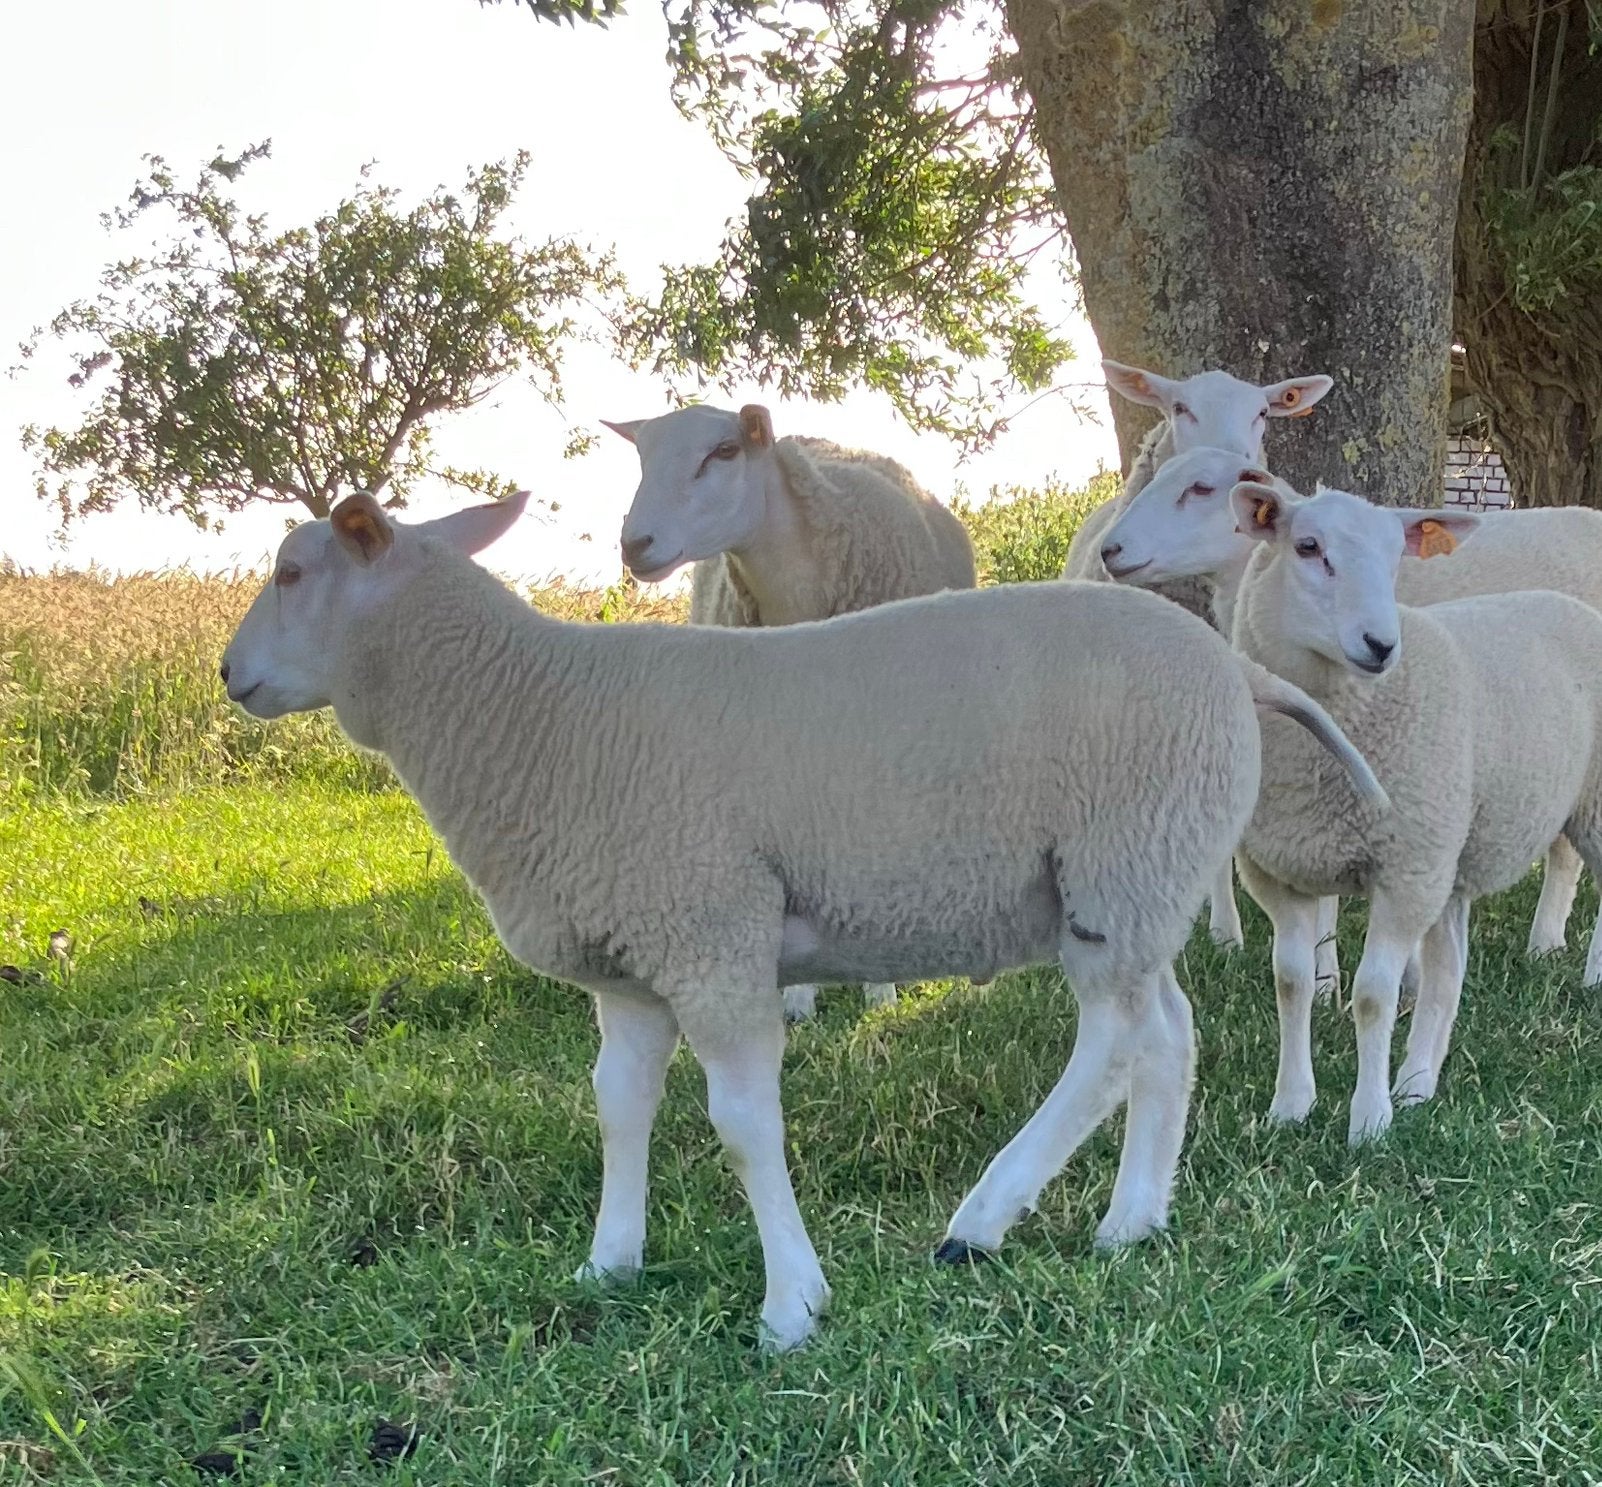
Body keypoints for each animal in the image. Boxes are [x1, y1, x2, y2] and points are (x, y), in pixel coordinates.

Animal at [221, 490, 1386, 1350]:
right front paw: (608, 1260)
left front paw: (791, 1303)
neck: (531, 714)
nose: (229, 675)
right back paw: (1131, 1218)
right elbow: (618, 1106)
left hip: (1121, 857)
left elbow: (742, 1126)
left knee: (1109, 1046)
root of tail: (1236, 668)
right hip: (1139, 878)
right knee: (1165, 1035)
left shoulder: (712, 930)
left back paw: (982, 1220)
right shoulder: (633, 961)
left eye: (292, 571)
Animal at [1219, 477, 1602, 1144]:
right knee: (1448, 970)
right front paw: (1290, 1105)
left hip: (1580, 806)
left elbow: (1374, 994)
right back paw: (1419, 1083)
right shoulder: (1281, 871)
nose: (1381, 645)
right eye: (1307, 546)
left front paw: (1369, 1122)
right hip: (1449, 852)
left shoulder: (1404, 873)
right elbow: (1291, 982)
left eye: (1398, 556)